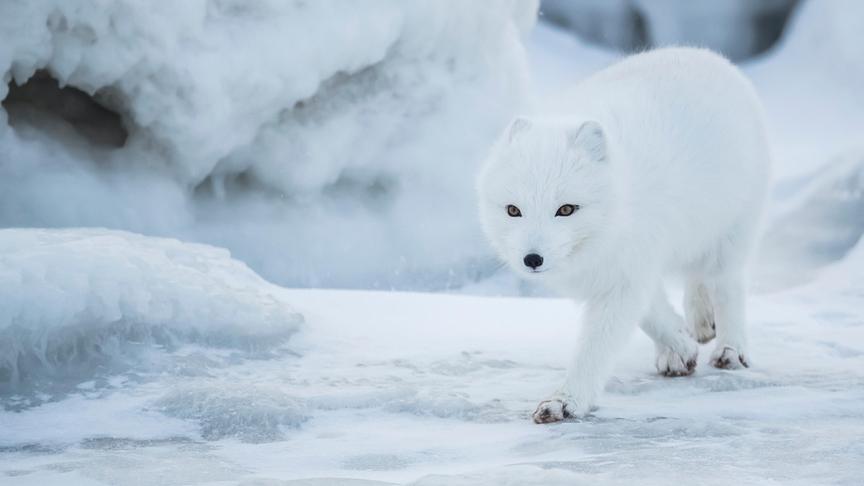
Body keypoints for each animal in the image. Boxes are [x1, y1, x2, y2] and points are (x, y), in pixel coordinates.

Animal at [480, 47, 768, 424]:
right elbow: (651, 314)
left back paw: (731, 349)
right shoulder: (623, 266)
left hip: (731, 233)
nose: (532, 259)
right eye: (513, 210)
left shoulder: (627, 269)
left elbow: (597, 346)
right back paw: (699, 325)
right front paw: (680, 347)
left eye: (566, 209)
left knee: (726, 286)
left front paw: (566, 401)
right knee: (695, 279)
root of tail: (707, 55)